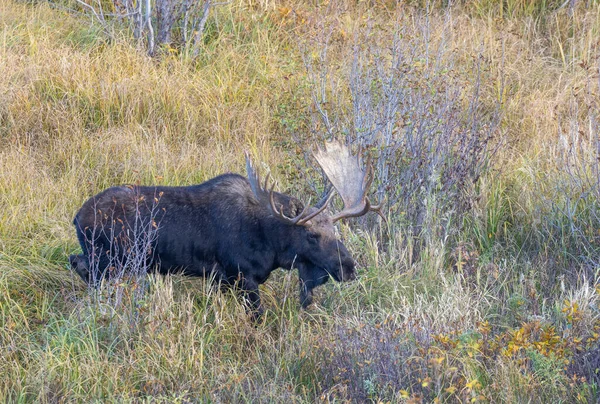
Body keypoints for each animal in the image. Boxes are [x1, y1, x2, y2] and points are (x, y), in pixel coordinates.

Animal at [68, 142, 382, 316]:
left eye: (336, 232)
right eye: (312, 236)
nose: (349, 267)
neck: (272, 244)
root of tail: (76, 217)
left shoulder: (222, 281)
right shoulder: (242, 277)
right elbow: (258, 317)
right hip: (109, 260)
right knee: (81, 266)